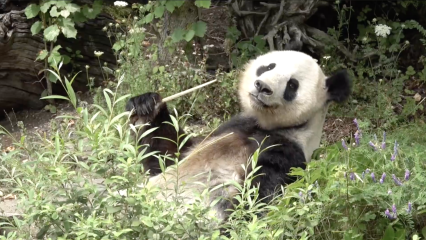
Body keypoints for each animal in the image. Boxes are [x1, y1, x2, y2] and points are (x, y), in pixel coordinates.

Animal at [123, 49, 352, 222]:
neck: (272, 126)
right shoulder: (229, 127)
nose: (262, 86)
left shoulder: (286, 151)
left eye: (292, 85)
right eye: (269, 66)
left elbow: (258, 198)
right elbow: (168, 155)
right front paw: (145, 105)